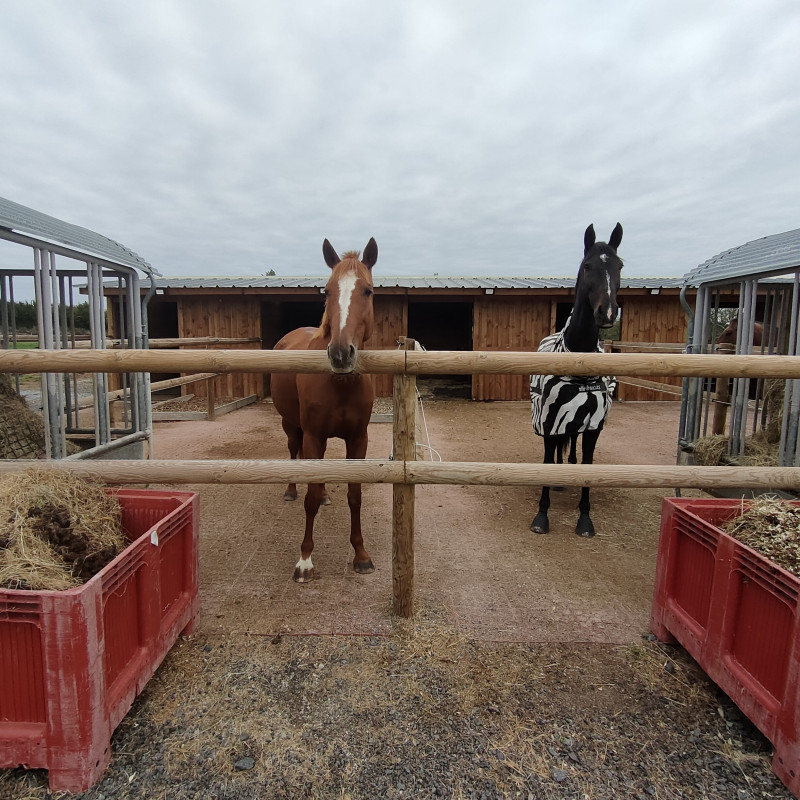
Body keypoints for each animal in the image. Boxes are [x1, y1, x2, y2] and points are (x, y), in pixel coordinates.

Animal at [272, 238, 378, 580]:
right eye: (327, 291)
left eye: (367, 290)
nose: (341, 354)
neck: (340, 383)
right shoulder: (313, 435)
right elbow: (310, 498)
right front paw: (305, 559)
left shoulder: (358, 439)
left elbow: (355, 496)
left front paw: (361, 554)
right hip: (292, 427)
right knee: (294, 454)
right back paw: (291, 489)